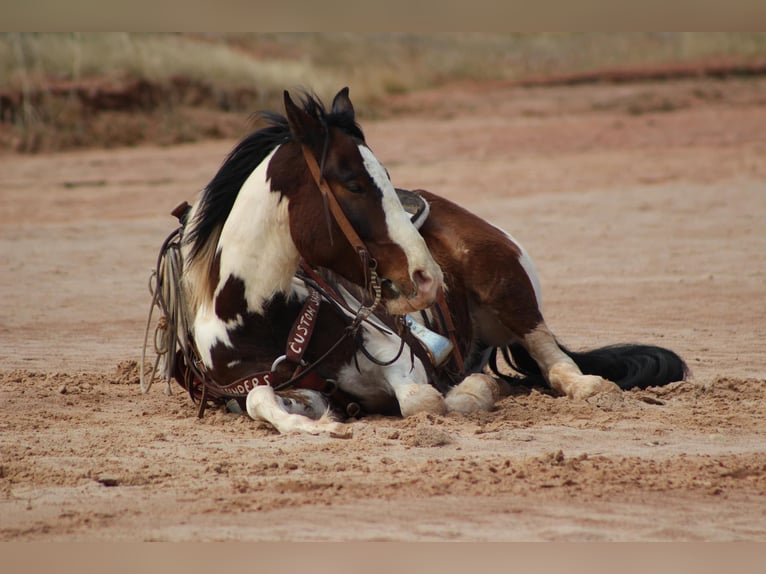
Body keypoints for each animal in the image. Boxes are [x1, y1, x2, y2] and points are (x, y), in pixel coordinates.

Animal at [144, 86, 688, 436]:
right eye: (353, 183)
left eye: (384, 177)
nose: (427, 278)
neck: (259, 315)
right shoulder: (252, 385)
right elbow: (265, 404)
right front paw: (320, 424)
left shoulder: (402, 355)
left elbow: (427, 400)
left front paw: (473, 392)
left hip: (508, 283)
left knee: (553, 358)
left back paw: (584, 384)